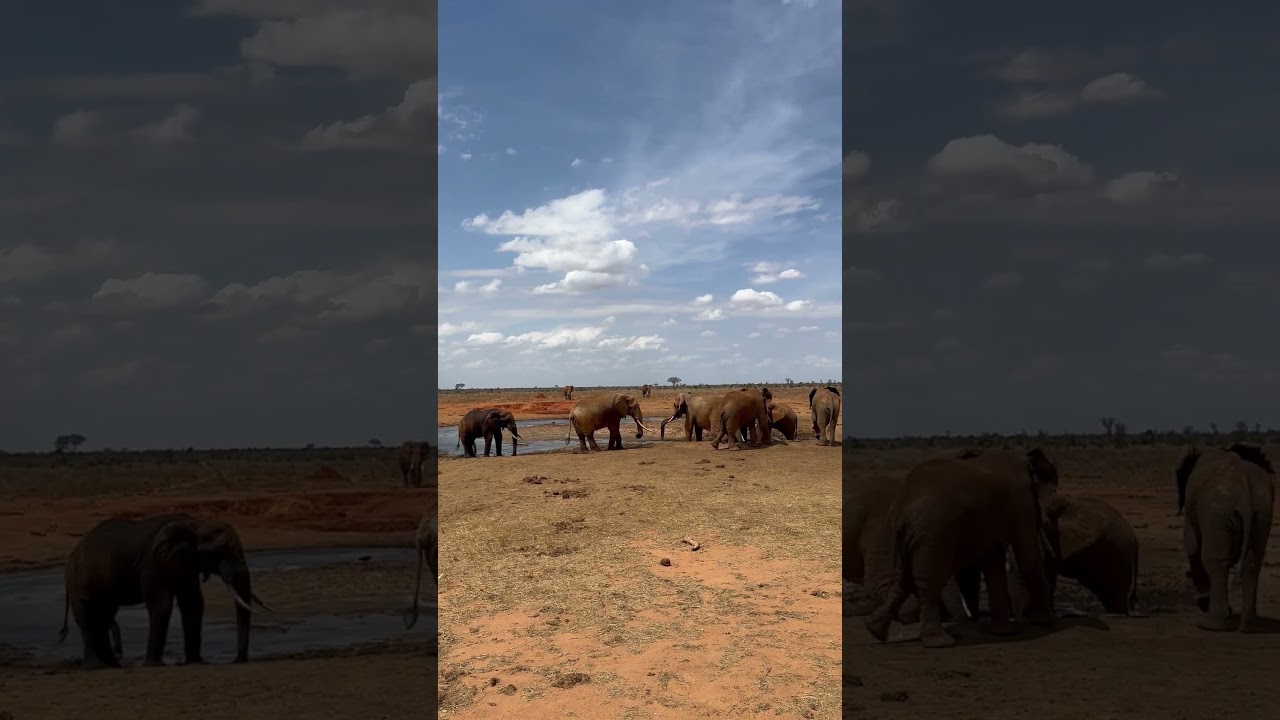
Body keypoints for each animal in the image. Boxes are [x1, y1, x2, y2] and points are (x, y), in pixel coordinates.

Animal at [57, 513, 275, 669]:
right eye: (220, 551)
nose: (238, 661)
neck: (194, 523)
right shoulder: (153, 563)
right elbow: (162, 604)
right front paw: (154, 665)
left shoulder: (186, 563)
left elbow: (193, 603)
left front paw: (195, 662)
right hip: (78, 578)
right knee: (88, 617)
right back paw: (96, 666)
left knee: (104, 615)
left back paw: (112, 665)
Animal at [864, 454, 1056, 648]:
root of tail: (903, 506)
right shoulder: (1022, 503)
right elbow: (1028, 558)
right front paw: (1044, 622)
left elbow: (994, 563)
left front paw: (1007, 632)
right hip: (933, 533)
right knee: (929, 581)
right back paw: (940, 642)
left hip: (903, 535)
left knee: (901, 579)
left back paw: (874, 630)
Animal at [1176, 442, 1275, 632]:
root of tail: (1244, 484)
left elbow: (1191, 545)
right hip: (1261, 512)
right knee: (1253, 563)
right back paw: (1249, 626)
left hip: (1218, 512)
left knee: (1215, 563)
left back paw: (1211, 624)